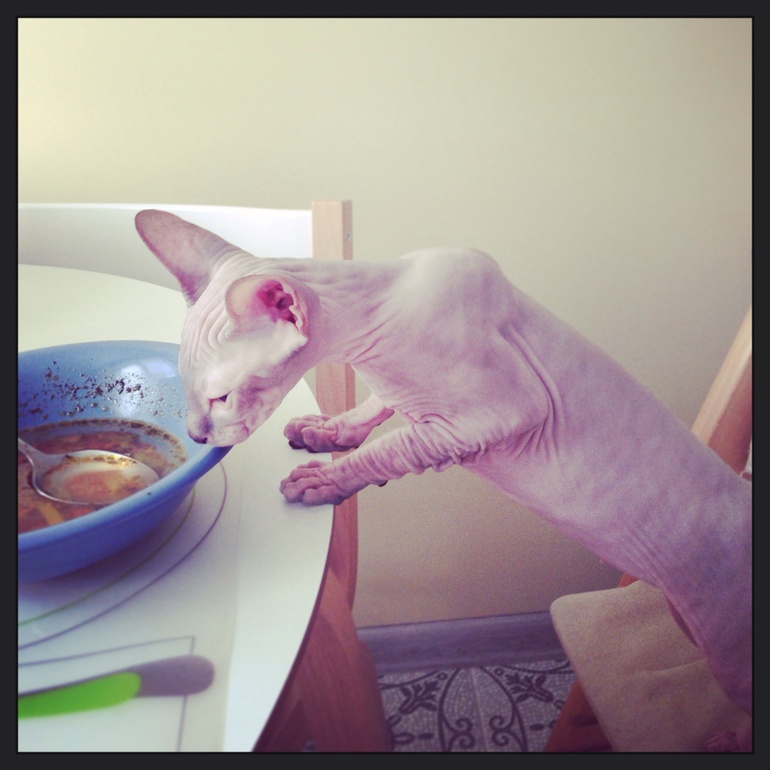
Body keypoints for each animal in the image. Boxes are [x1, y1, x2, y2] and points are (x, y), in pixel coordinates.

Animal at [136, 209, 751, 751]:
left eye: (220, 397)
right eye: (188, 393)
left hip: (728, 652)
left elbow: (395, 448)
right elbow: (379, 407)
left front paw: (324, 480)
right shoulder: (416, 397)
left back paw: (727, 740)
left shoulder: (507, 409)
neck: (375, 323)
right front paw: (327, 432)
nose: (198, 434)